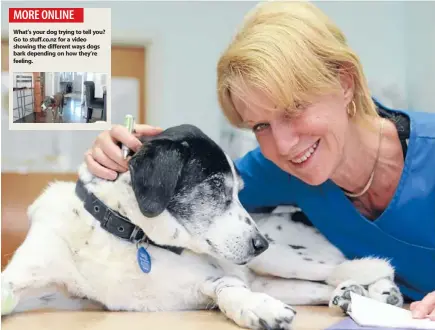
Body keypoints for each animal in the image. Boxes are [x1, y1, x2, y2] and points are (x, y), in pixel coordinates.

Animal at [1, 125, 406, 328]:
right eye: (215, 186)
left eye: (240, 191)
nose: (260, 243)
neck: (129, 235)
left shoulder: (213, 278)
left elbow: (229, 289)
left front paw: (255, 309)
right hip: (277, 276)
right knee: (326, 286)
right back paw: (353, 295)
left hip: (283, 260)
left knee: (354, 267)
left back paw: (381, 292)